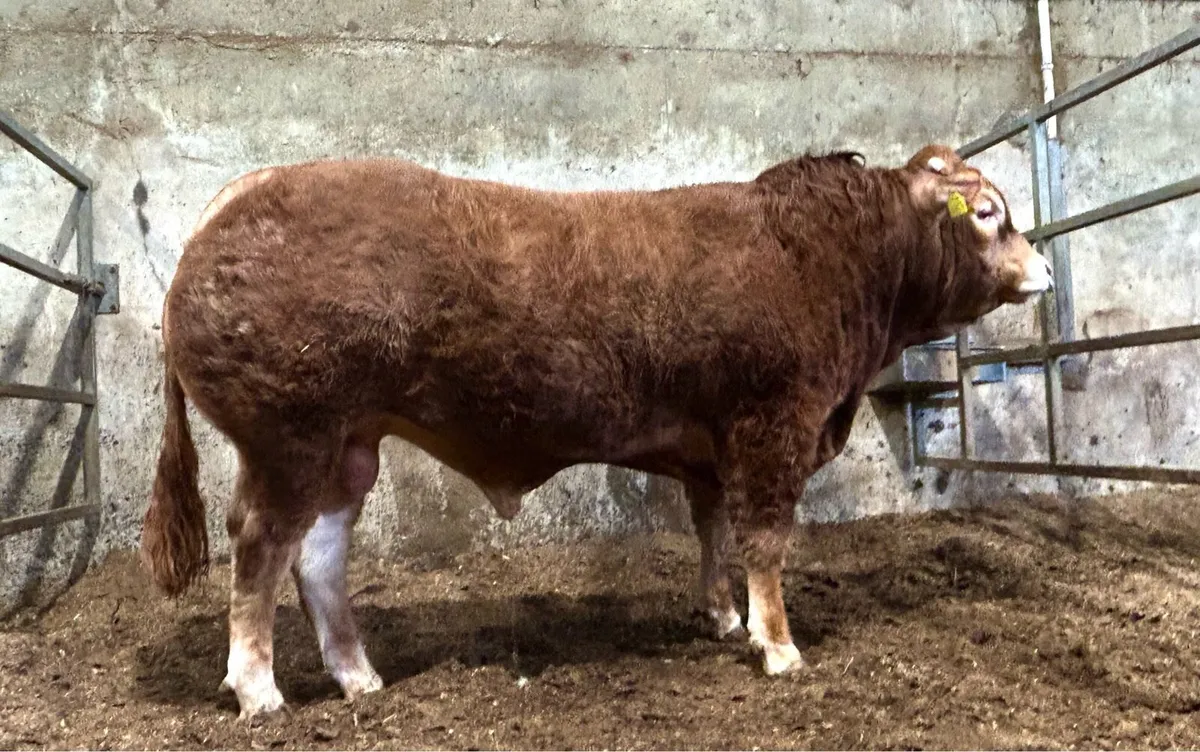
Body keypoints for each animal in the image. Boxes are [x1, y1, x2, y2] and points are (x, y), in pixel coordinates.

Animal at [141, 143, 1051, 719]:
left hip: (348, 447)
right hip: (290, 437)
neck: (828, 263)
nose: (1042, 267)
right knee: (260, 548)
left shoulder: (711, 447)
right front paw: (779, 646)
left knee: (320, 556)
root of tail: (245, 191)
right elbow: (764, 540)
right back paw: (259, 691)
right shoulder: (774, 423)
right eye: (988, 213)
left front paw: (722, 618)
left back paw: (359, 678)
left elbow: (713, 531)